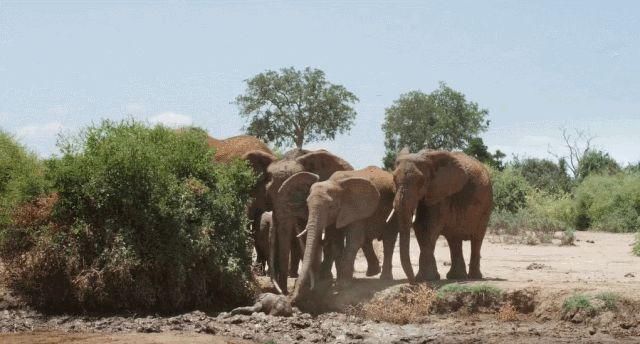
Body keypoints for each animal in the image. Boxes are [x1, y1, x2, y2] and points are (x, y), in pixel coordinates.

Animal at [290, 167, 410, 304]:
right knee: (367, 241)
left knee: (388, 240)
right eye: (307, 205)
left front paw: (343, 284)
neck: (336, 183)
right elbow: (336, 241)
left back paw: (385, 278)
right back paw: (372, 273)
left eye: (331, 206)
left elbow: (354, 240)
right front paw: (339, 282)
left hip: (394, 210)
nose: (292, 300)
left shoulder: (356, 208)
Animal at [388, 148, 492, 282]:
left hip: (486, 206)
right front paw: (428, 278)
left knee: (477, 239)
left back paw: (474, 277)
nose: (413, 282)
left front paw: (426, 278)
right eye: (394, 179)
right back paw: (456, 277)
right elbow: (420, 227)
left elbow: (428, 228)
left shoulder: (441, 193)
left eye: (421, 181)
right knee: (454, 239)